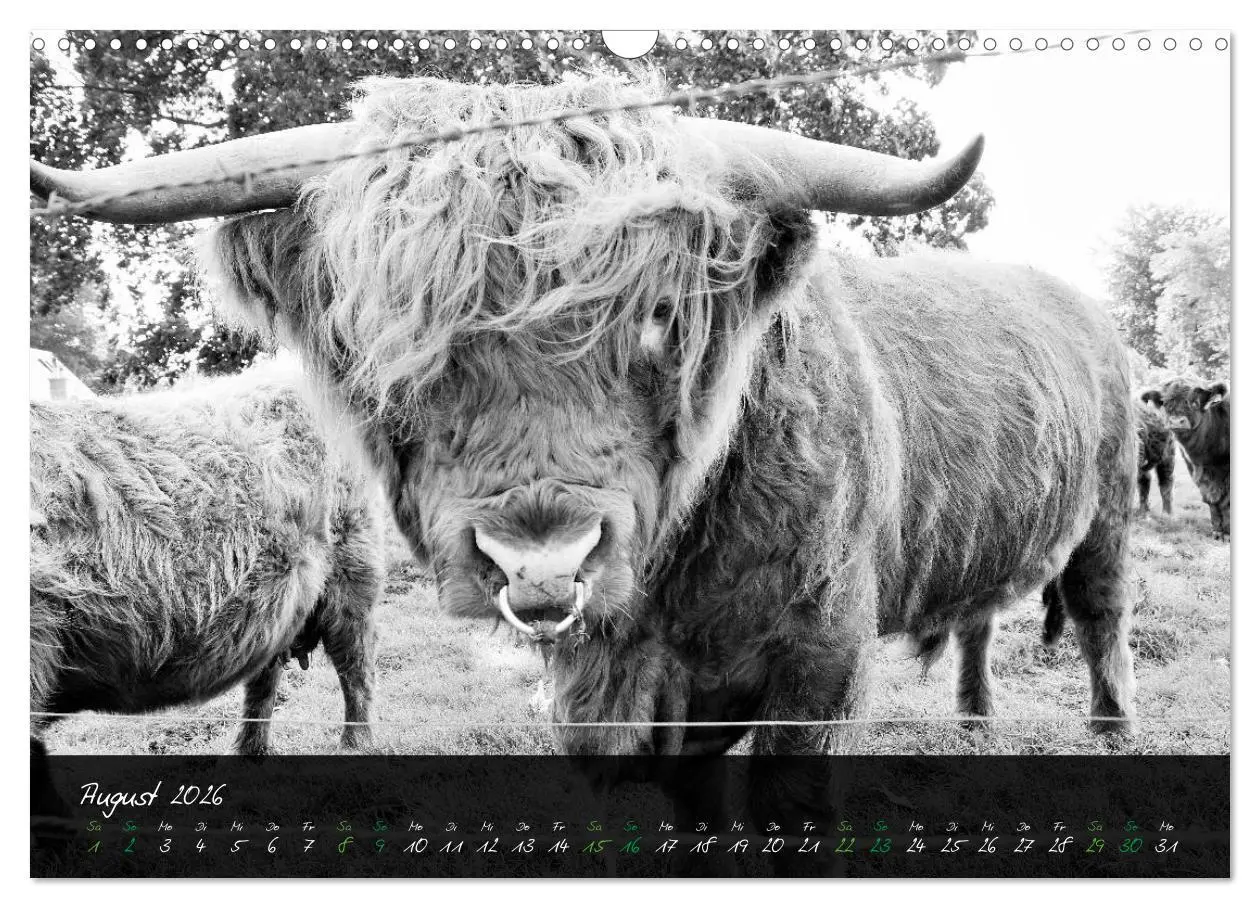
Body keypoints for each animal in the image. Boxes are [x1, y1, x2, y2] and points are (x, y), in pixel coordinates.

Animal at [1141, 378, 1230, 539]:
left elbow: (1226, 502)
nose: (1177, 421)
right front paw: (1217, 531)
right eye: (1165, 402)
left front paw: (1227, 533)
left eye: (1195, 401)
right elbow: (1212, 501)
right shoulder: (1198, 472)